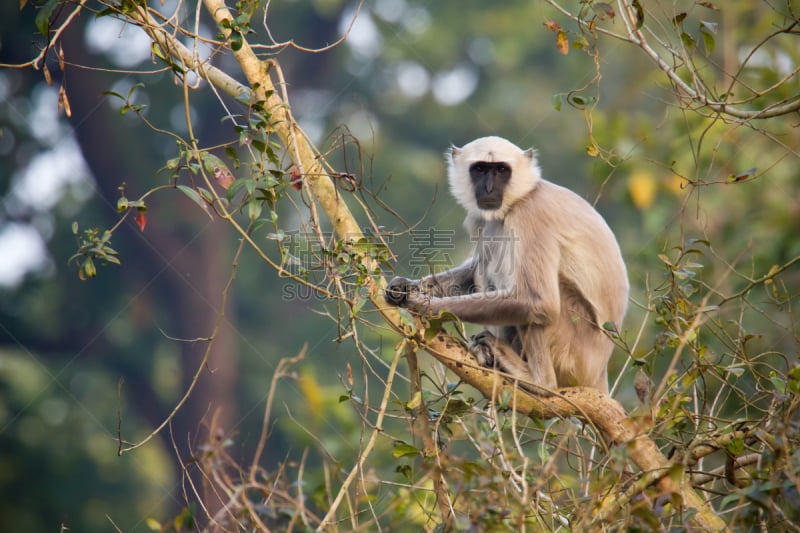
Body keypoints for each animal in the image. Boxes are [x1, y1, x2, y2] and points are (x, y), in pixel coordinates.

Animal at [384, 136, 628, 394]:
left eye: (501, 170)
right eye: (480, 169)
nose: (489, 188)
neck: (523, 195)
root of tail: (598, 372)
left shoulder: (531, 214)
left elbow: (539, 301)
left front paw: (424, 306)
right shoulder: (481, 218)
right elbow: (474, 269)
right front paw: (404, 287)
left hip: (573, 351)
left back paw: (540, 382)